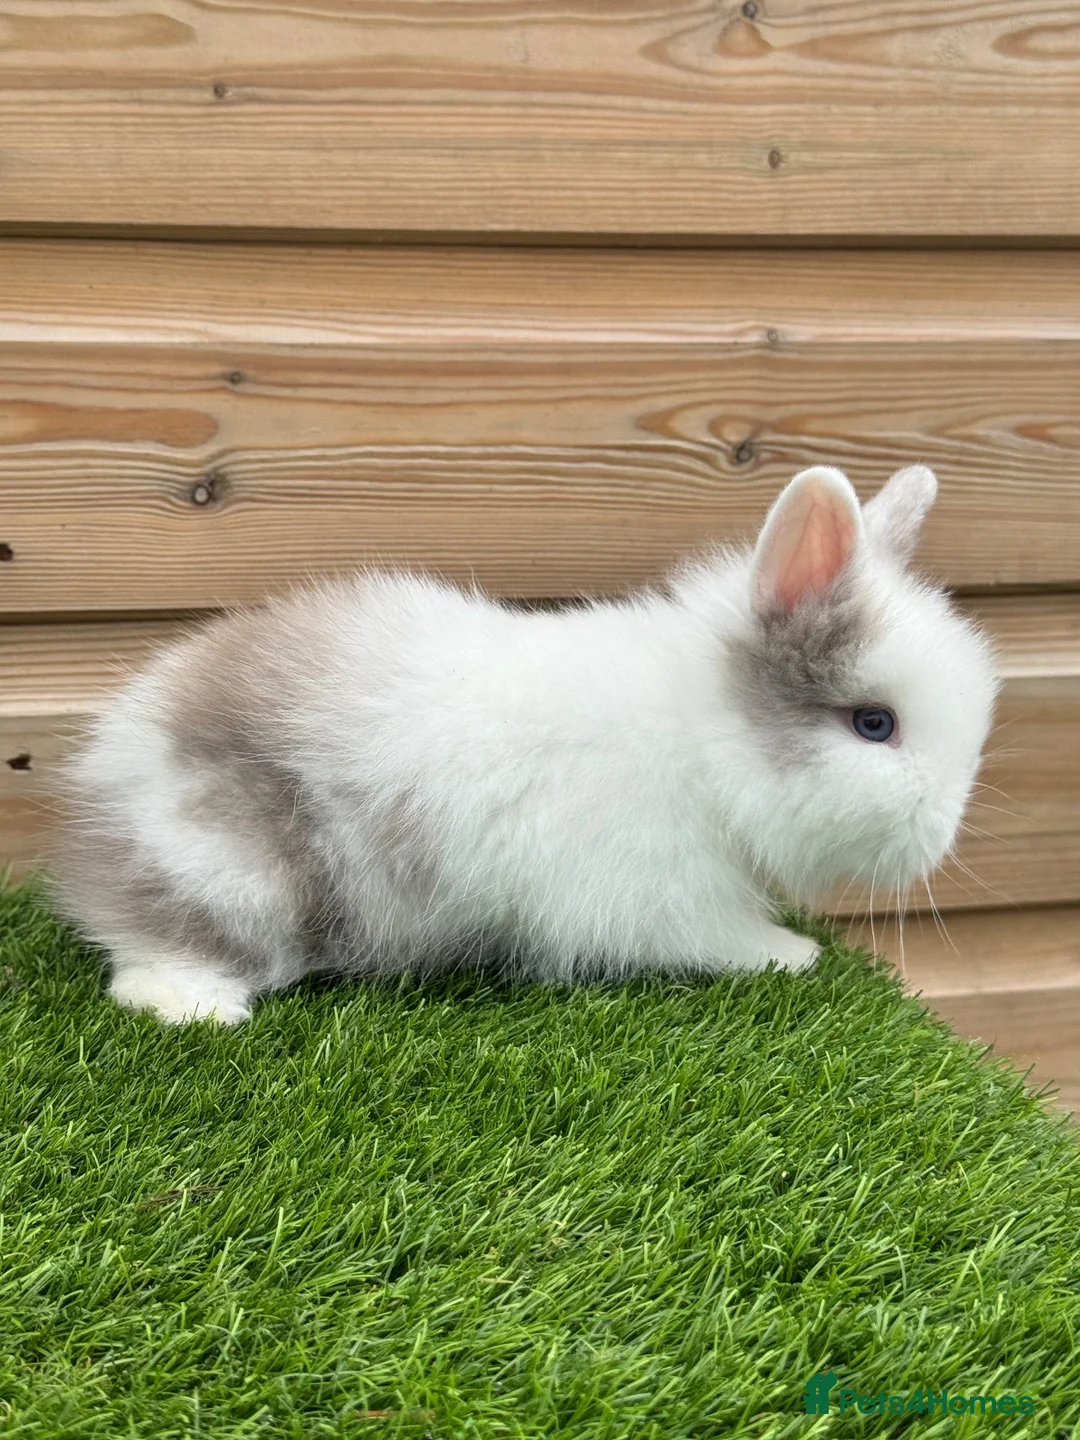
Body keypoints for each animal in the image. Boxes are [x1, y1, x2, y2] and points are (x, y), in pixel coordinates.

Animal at [53, 463, 998, 1024]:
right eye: (874, 723)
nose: (945, 836)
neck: (700, 737)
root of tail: (109, 772)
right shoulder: (658, 891)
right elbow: (716, 936)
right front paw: (791, 955)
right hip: (231, 867)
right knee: (146, 961)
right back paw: (202, 1008)